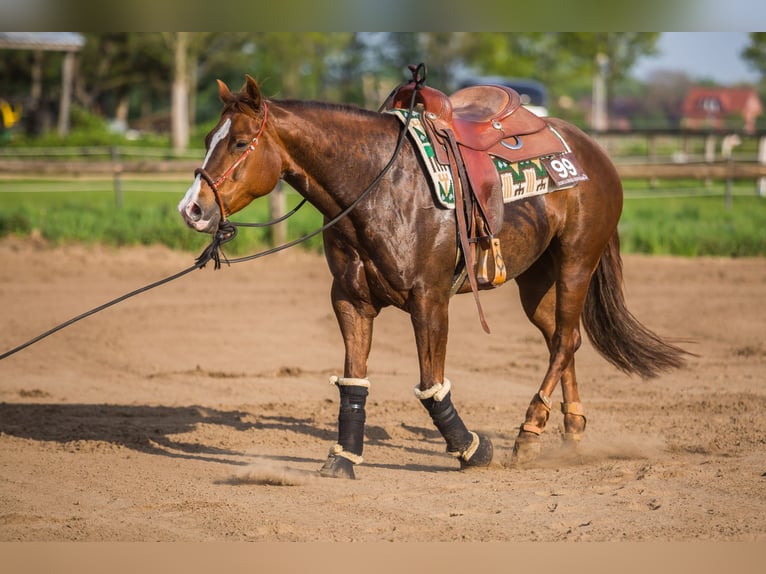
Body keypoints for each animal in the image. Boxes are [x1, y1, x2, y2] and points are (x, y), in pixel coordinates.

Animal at [178, 73, 689, 479]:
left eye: (240, 143)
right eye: (206, 139)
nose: (192, 209)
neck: (381, 186)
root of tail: (591, 150)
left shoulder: (429, 300)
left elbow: (430, 384)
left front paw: (472, 450)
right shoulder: (350, 300)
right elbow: (354, 382)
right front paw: (343, 459)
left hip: (576, 262)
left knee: (565, 340)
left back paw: (527, 434)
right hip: (536, 279)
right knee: (564, 341)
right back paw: (569, 432)